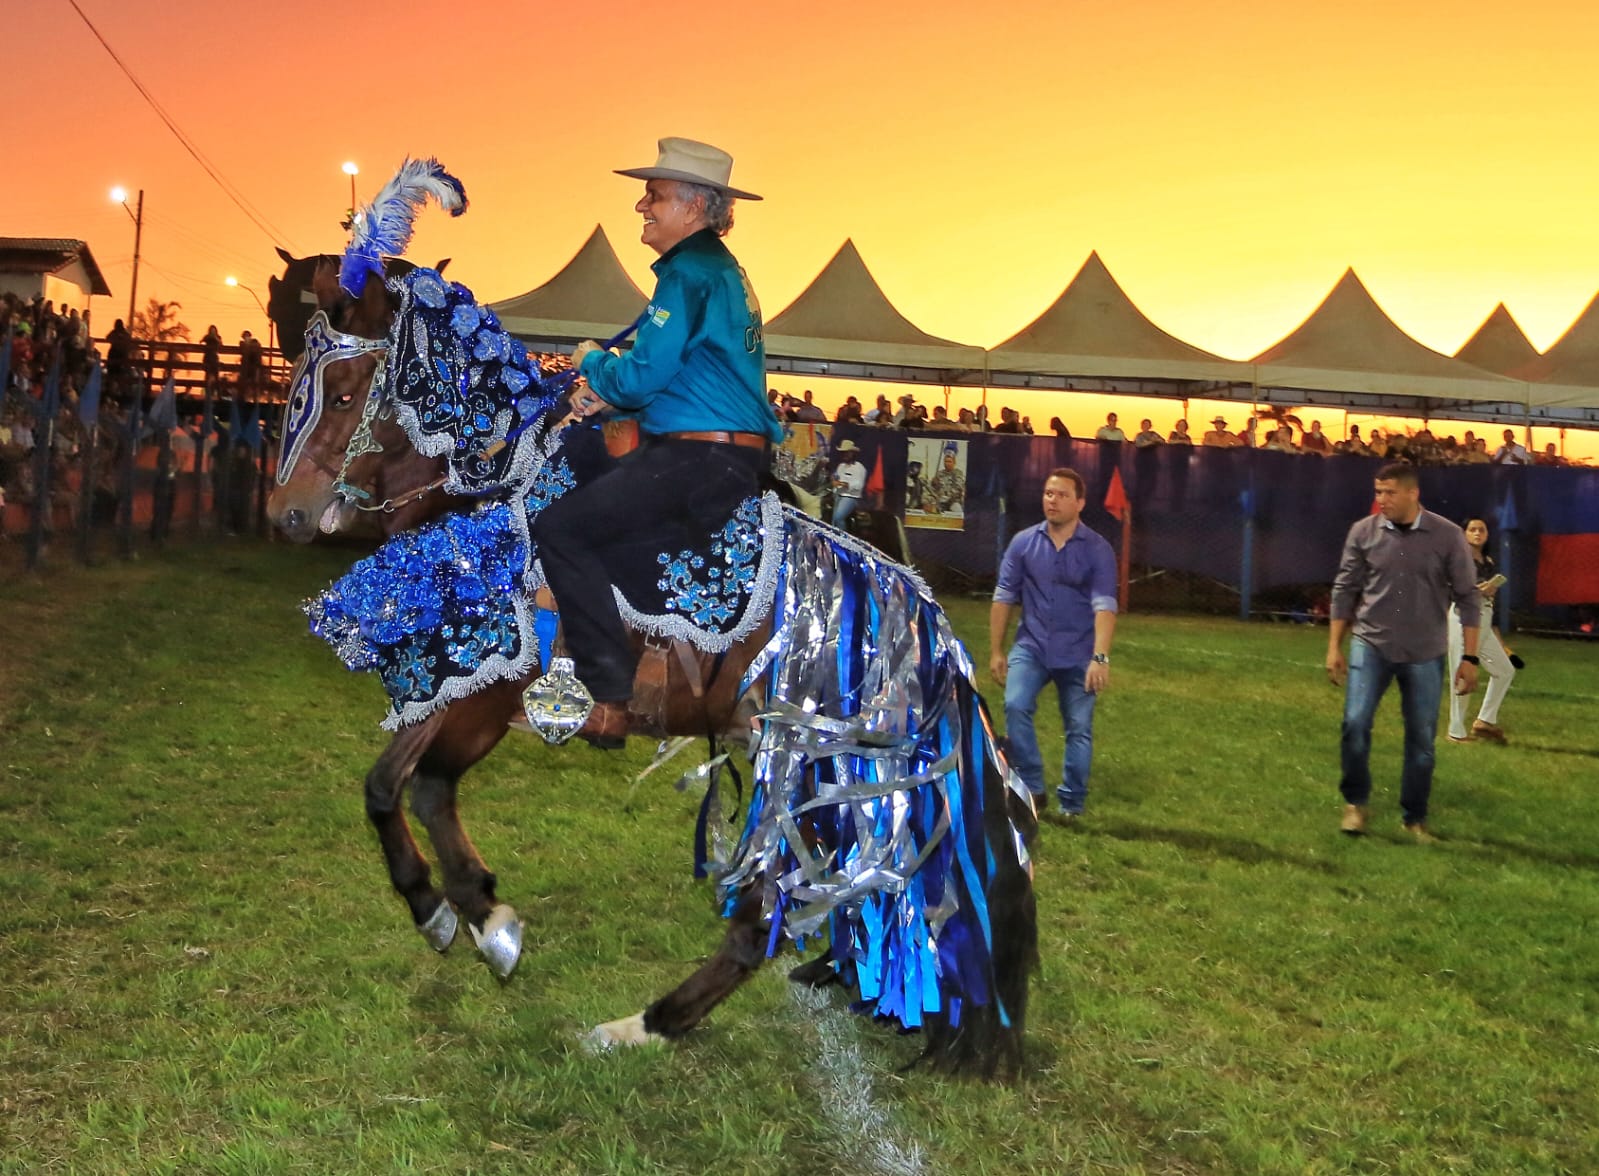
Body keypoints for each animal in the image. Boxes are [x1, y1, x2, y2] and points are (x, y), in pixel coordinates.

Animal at [265, 160, 1036, 1081]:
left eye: (345, 391)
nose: (285, 515)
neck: (497, 490)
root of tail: (913, 607)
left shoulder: (483, 683)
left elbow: (405, 785)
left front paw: (458, 913)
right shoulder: (466, 685)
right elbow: (409, 787)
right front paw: (469, 912)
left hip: (799, 760)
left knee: (763, 911)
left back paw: (646, 1024)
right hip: (833, 776)